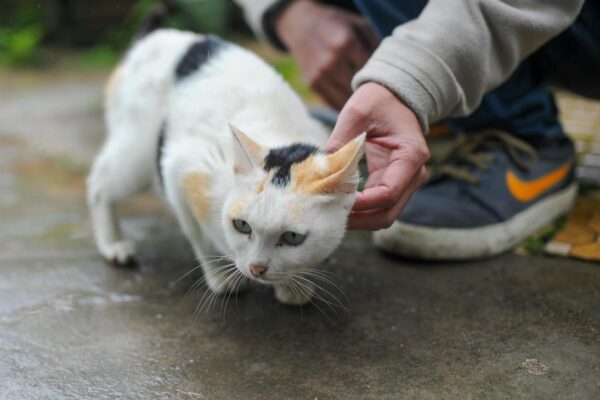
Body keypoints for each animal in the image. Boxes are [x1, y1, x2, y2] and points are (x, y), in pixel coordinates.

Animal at [87, 29, 365, 305]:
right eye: (242, 225)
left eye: (293, 237)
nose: (257, 268)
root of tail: (152, 37)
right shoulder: (181, 171)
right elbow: (199, 236)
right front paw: (221, 278)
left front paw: (293, 287)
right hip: (137, 152)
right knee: (100, 184)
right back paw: (113, 245)